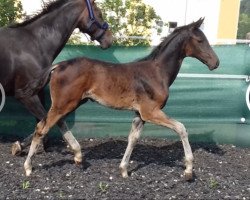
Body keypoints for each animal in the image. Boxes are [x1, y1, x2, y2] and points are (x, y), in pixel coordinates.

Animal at [0, 0, 112, 155]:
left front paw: (24, 145)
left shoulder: (38, 92)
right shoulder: (25, 96)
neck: (34, 44)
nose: (110, 39)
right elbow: (52, 120)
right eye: (99, 13)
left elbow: (42, 121)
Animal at [23, 18, 219, 180]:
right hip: (63, 104)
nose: (215, 63)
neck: (156, 72)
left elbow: (133, 138)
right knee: (41, 128)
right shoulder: (151, 112)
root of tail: (58, 65)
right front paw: (188, 170)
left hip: (71, 103)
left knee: (56, 123)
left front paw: (124, 170)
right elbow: (181, 128)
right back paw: (28, 167)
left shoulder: (140, 115)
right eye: (200, 40)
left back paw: (78, 156)